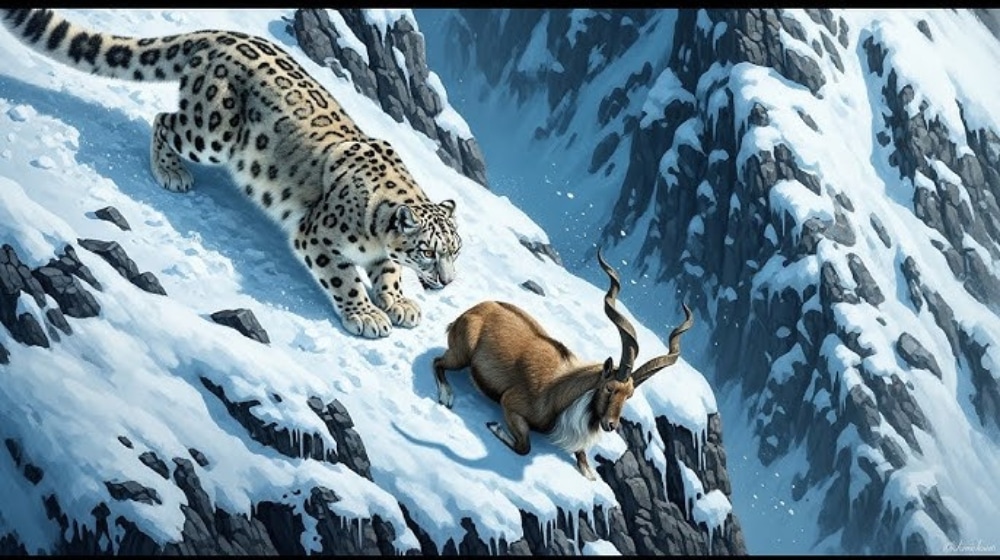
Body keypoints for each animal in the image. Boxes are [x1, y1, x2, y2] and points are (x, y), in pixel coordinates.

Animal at [1, 9, 462, 339]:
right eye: (427, 251)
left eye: (455, 251)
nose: (447, 281)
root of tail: (221, 34)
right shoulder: (318, 237)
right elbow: (344, 277)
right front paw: (366, 315)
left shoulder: (382, 254)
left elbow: (389, 272)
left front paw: (399, 303)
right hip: (213, 131)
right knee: (164, 120)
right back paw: (172, 173)